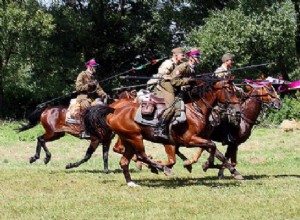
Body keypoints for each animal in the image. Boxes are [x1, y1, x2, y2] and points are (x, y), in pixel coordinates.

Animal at [104, 78, 243, 186]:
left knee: (124, 161)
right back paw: (162, 169)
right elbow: (212, 146)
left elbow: (218, 153)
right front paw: (207, 164)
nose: (238, 112)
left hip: (128, 140)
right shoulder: (189, 140)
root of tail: (114, 112)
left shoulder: (200, 139)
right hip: (135, 137)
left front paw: (234, 171)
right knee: (141, 156)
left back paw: (132, 182)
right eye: (230, 91)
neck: (196, 110)